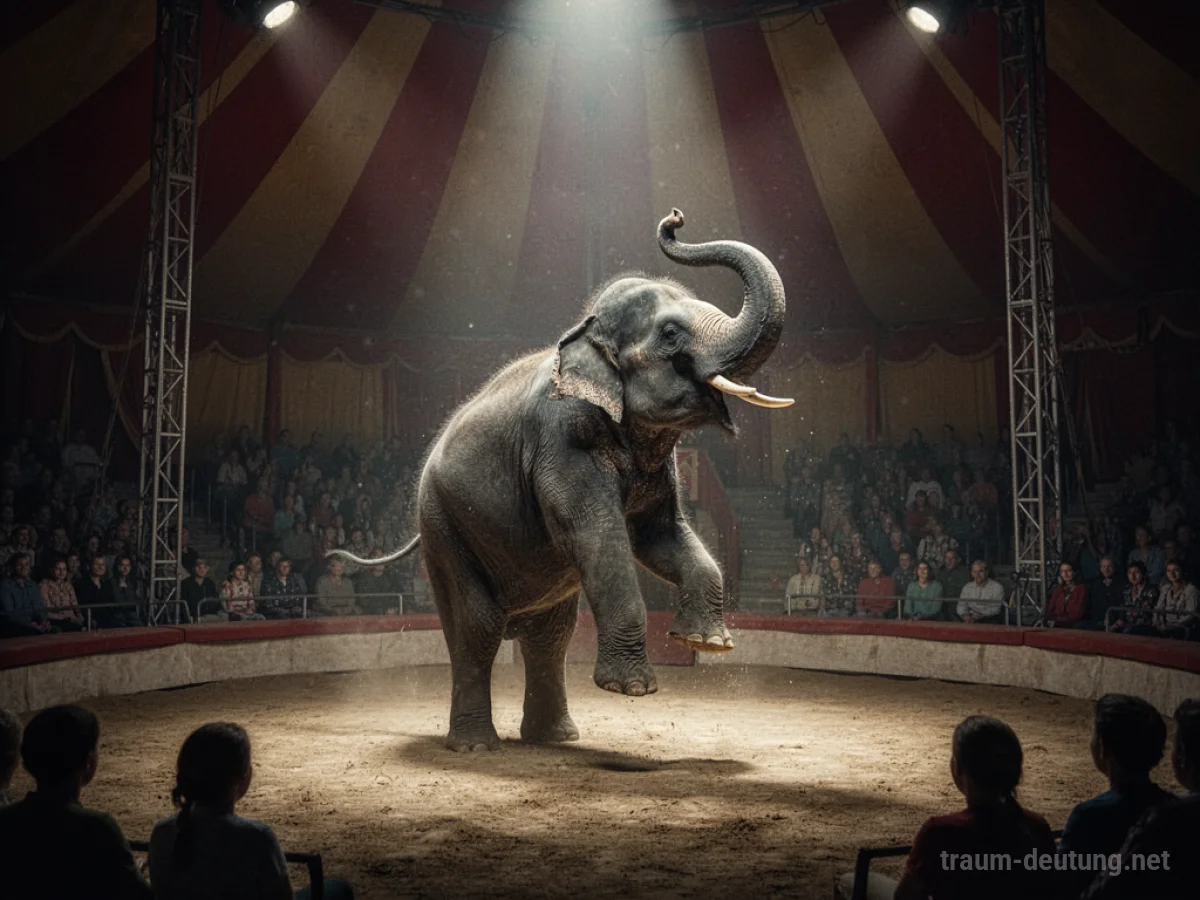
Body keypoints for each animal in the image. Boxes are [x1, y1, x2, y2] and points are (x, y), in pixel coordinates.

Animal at [328, 209, 792, 751]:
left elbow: (659, 536)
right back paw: (477, 746)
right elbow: (599, 535)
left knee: (550, 634)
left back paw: (555, 738)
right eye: (671, 334)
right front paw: (633, 689)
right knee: (476, 628)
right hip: (443, 527)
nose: (675, 218)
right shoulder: (563, 441)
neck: (585, 334)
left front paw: (708, 643)